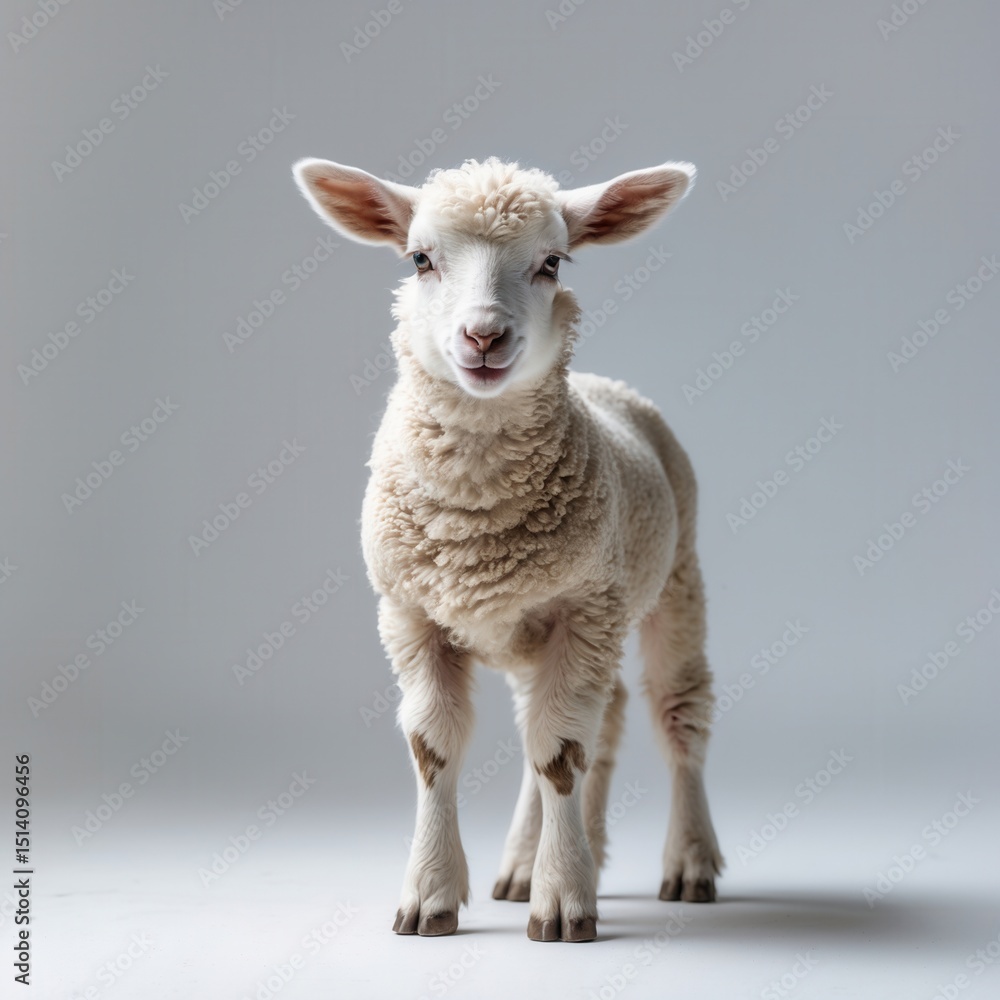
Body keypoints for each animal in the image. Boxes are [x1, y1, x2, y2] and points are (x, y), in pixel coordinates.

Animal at [292, 155, 723, 943]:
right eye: (420, 259)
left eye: (552, 263)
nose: (484, 336)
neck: (474, 518)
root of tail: (607, 385)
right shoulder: (410, 615)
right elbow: (436, 749)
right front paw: (430, 895)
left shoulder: (583, 609)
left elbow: (560, 755)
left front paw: (565, 902)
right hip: (551, 619)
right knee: (590, 717)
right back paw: (526, 864)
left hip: (673, 582)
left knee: (675, 718)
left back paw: (689, 864)